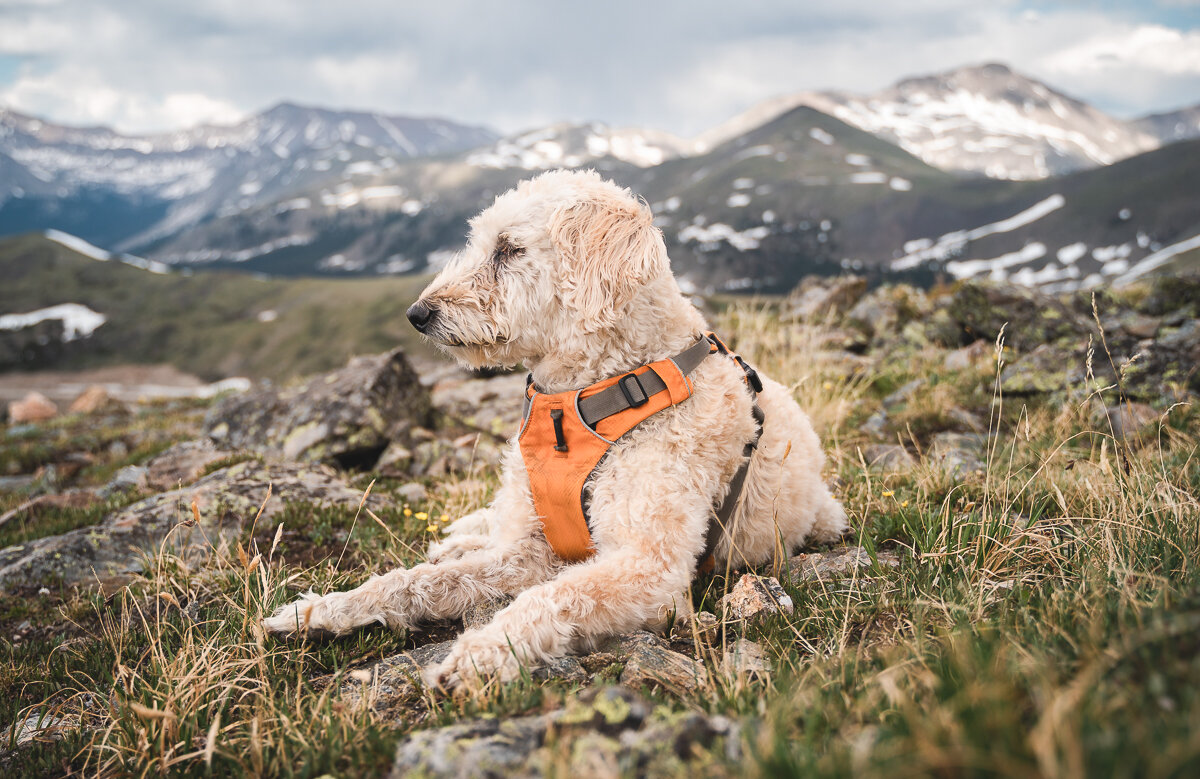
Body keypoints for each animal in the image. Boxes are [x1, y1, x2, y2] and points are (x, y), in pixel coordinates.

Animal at [262, 168, 844, 686]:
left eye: (509, 249)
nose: (418, 313)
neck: (589, 400)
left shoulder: (651, 570)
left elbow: (556, 595)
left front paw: (480, 656)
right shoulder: (531, 549)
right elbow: (419, 581)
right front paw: (326, 610)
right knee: (486, 528)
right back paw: (457, 538)